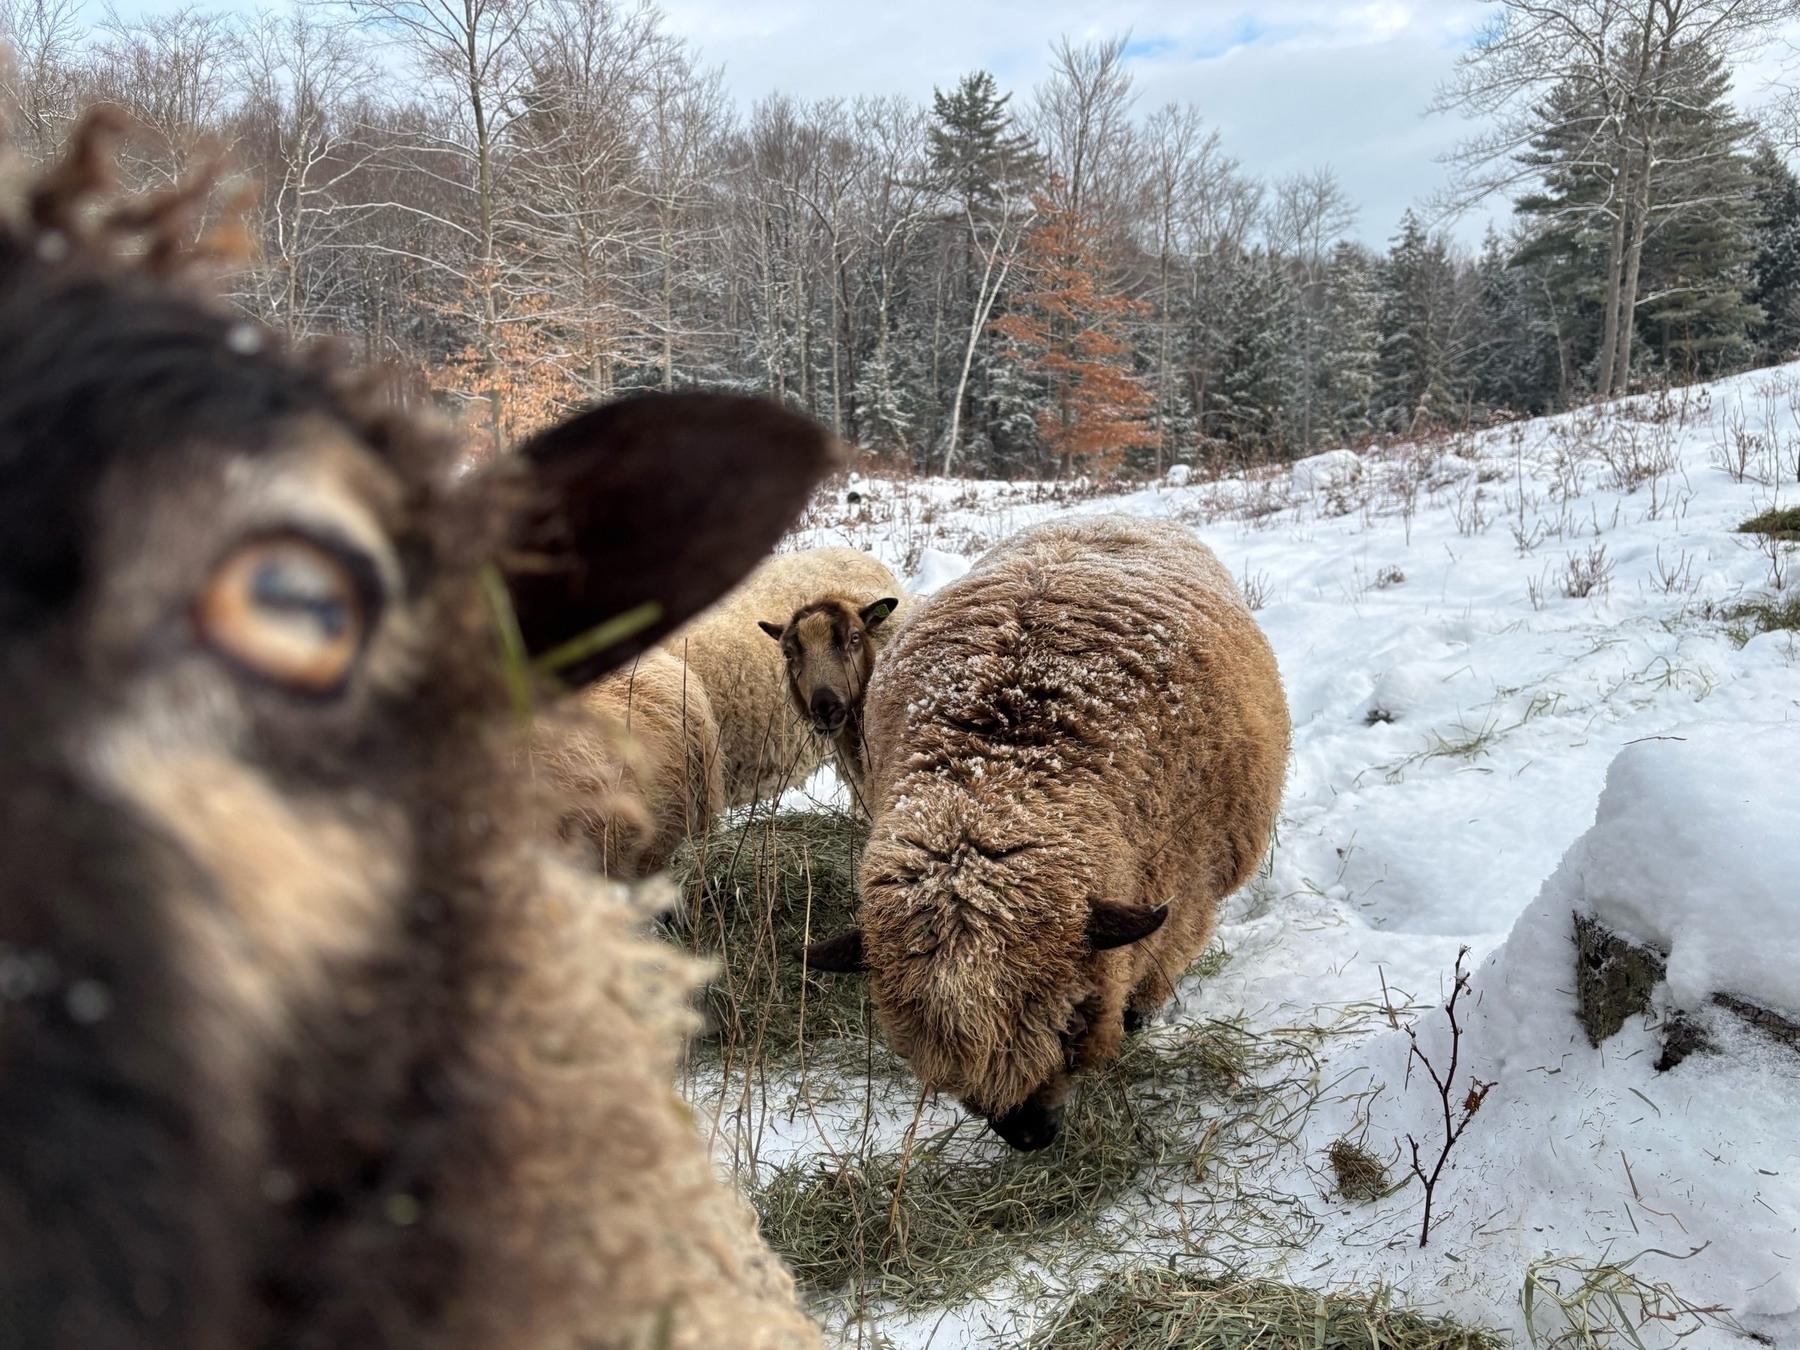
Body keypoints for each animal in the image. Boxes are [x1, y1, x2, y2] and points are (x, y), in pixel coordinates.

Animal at [806, 514, 1296, 1152]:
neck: (999, 762)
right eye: (926, 1045)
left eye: (1071, 1017)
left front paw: (1139, 1021)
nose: (1028, 1135)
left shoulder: (1188, 890)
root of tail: (1108, 515)